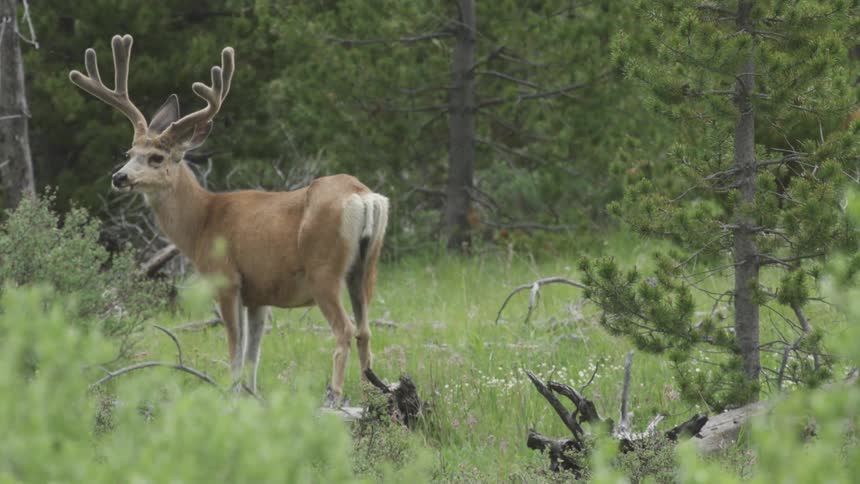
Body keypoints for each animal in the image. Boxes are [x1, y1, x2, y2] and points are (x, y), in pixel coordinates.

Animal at [69, 35, 389, 404]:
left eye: (156, 157)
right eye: (128, 153)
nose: (119, 177)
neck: (201, 222)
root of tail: (363, 195)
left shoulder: (226, 279)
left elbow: (235, 351)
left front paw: (231, 395)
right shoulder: (259, 294)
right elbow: (253, 355)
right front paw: (252, 396)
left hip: (324, 269)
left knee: (344, 329)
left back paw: (334, 395)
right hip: (366, 266)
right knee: (365, 328)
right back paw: (373, 390)